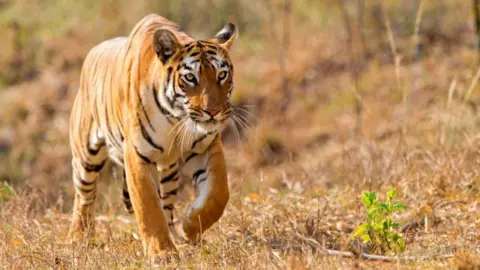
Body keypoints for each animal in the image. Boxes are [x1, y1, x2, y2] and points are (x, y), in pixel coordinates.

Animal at [68, 13, 237, 258]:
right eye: (190, 78)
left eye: (222, 75)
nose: (213, 111)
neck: (177, 118)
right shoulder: (137, 155)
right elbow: (148, 207)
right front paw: (162, 253)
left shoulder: (206, 147)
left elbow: (219, 193)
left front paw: (190, 226)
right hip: (86, 156)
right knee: (84, 196)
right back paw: (78, 237)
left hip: (169, 170)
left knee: (167, 203)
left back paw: (176, 235)